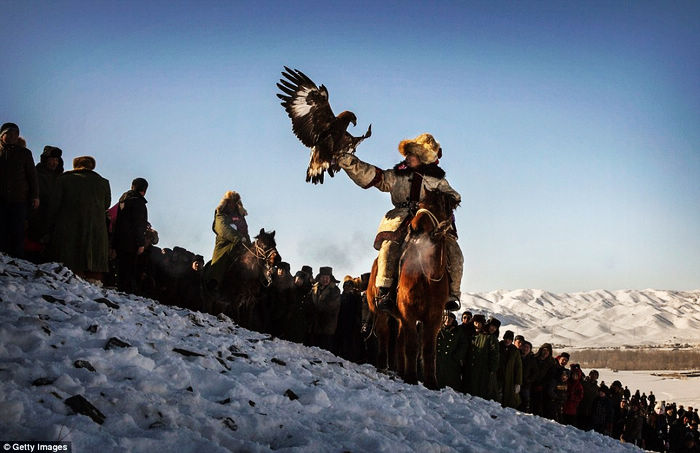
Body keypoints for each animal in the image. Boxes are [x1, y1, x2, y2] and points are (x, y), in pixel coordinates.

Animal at [366, 189, 460, 386]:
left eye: (438, 206)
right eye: (420, 205)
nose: (415, 227)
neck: (427, 276)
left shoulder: (433, 317)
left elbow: (428, 349)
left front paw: (431, 382)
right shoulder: (408, 312)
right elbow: (412, 345)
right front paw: (411, 378)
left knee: (398, 341)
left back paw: (400, 371)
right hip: (380, 312)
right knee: (384, 335)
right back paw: (384, 367)